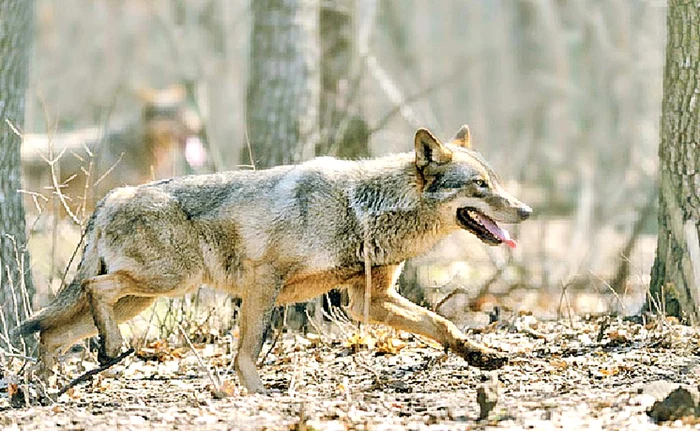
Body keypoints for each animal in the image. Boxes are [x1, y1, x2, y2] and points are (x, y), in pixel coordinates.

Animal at [16, 125, 531, 394]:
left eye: (493, 181)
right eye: (480, 186)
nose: (526, 211)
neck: (363, 209)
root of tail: (115, 195)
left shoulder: (367, 302)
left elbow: (441, 324)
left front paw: (481, 356)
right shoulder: (264, 283)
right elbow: (246, 351)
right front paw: (258, 398)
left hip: (144, 297)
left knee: (53, 332)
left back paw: (41, 391)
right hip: (166, 282)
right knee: (90, 291)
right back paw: (95, 357)